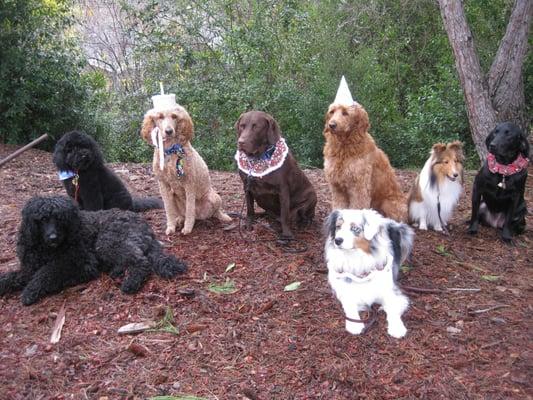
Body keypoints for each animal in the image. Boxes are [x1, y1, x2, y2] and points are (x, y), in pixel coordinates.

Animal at [0, 195, 187, 304]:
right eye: (43, 219)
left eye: (60, 218)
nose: (53, 237)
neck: (46, 249)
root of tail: (145, 225)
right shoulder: (29, 267)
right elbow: (14, 276)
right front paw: (5, 283)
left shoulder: (82, 264)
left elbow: (46, 272)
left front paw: (31, 290)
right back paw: (117, 271)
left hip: (107, 242)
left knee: (141, 261)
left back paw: (131, 282)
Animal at [234, 110, 316, 238]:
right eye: (242, 126)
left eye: (256, 127)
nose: (241, 142)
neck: (258, 158)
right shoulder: (247, 187)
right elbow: (249, 210)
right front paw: (248, 226)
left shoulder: (283, 189)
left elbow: (284, 215)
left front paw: (287, 235)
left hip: (311, 197)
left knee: (305, 216)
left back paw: (303, 224)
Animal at [324, 209, 412, 338]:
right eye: (338, 227)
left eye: (354, 228)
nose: (337, 240)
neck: (356, 257)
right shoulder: (346, 290)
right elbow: (349, 305)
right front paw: (354, 325)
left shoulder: (390, 291)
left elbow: (392, 307)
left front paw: (397, 328)